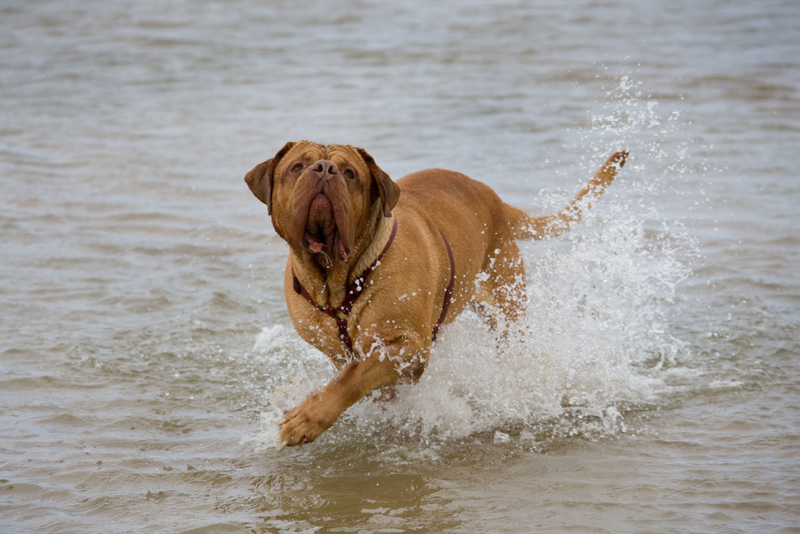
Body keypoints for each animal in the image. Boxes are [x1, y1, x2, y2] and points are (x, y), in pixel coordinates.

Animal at [244, 140, 624, 450]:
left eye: (350, 173)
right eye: (297, 167)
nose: (325, 169)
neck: (337, 281)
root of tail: (497, 201)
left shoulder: (409, 347)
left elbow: (353, 378)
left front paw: (306, 418)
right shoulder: (340, 351)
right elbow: (355, 375)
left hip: (508, 313)